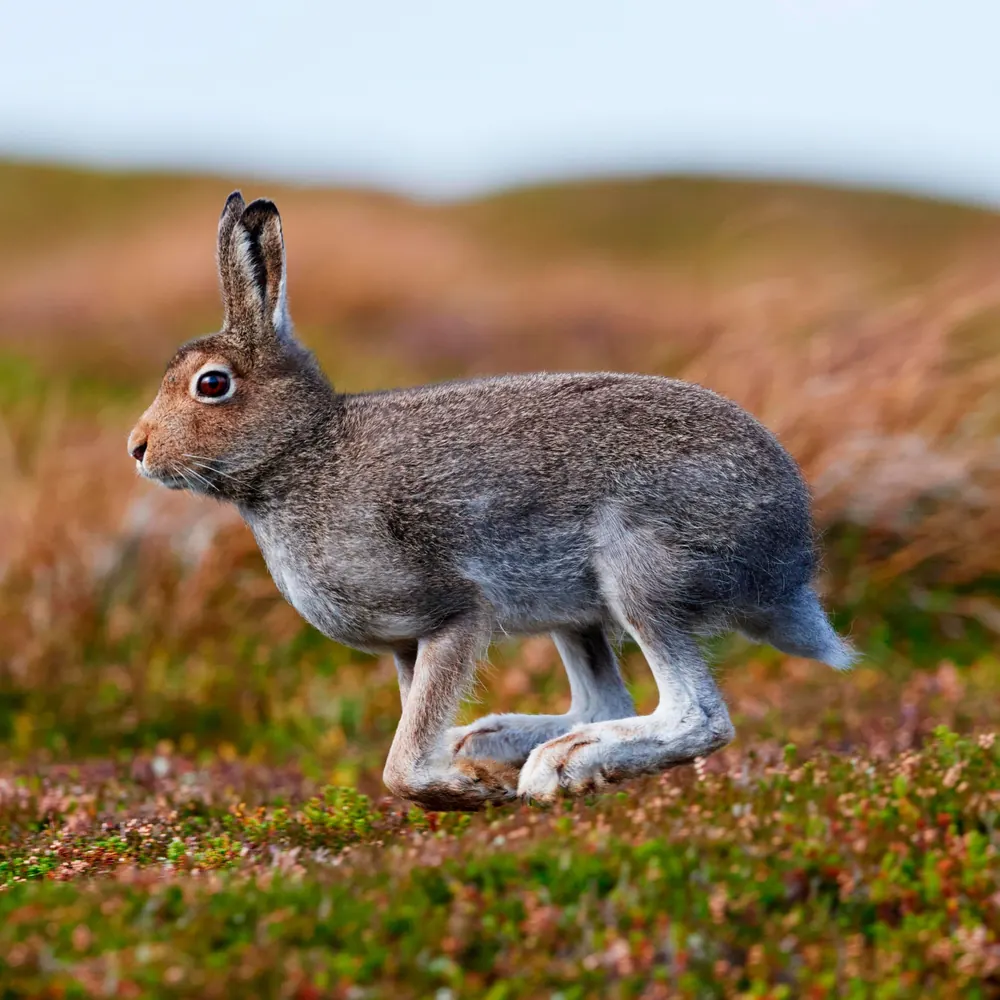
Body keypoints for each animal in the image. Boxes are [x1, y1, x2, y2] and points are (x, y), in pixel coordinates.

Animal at [127, 192, 854, 811]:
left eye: (212, 385)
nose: (137, 448)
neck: (303, 449)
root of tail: (793, 563)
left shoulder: (453, 614)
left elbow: (401, 761)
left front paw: (466, 789)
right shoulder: (406, 645)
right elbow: (412, 725)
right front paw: (466, 773)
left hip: (643, 571)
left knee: (698, 716)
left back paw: (559, 766)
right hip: (574, 610)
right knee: (604, 698)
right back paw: (500, 743)